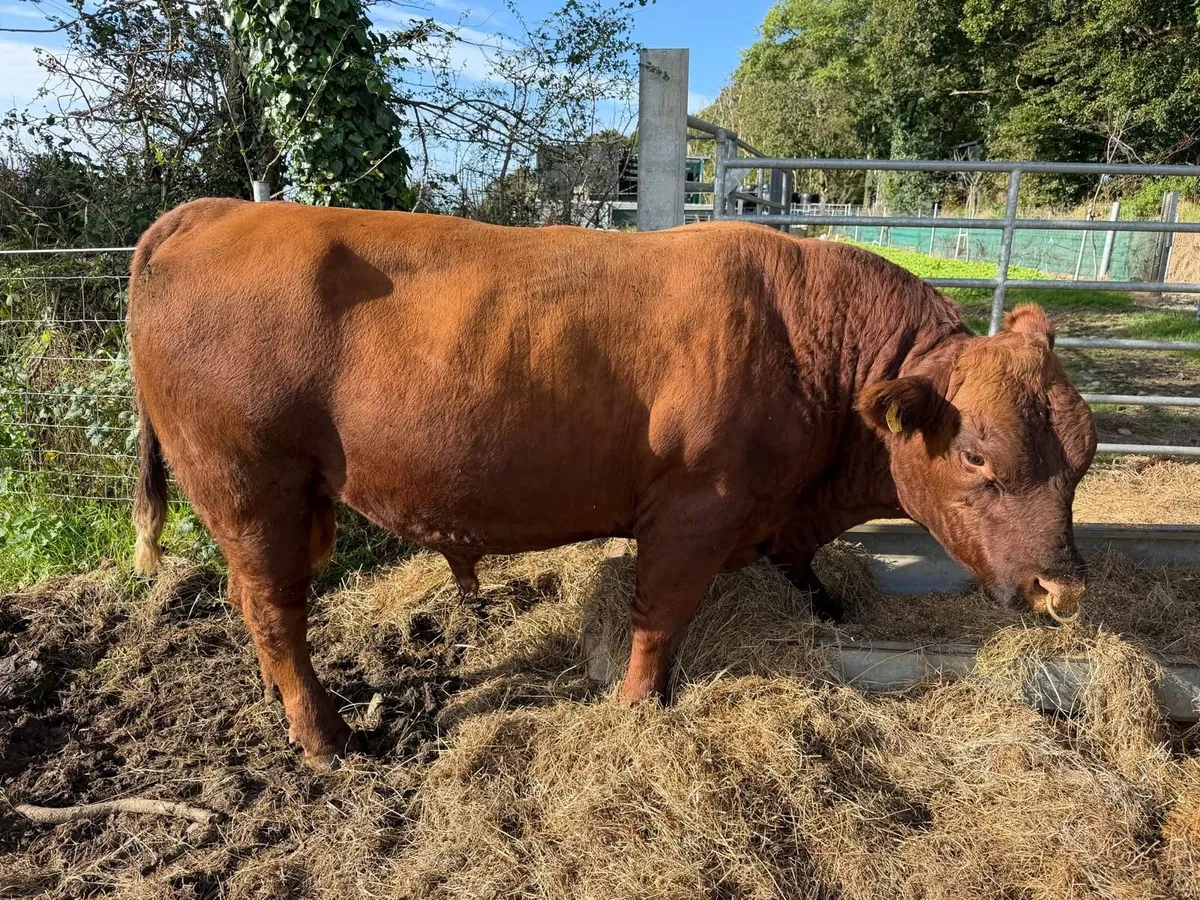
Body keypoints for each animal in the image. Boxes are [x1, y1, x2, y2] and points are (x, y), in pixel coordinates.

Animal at [128, 199, 1097, 769]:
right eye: (978, 457)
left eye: (1084, 456)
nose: (1063, 589)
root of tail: (217, 210)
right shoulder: (698, 507)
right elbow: (659, 617)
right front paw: (639, 708)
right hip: (252, 484)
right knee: (273, 609)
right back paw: (325, 737)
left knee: (259, 603)